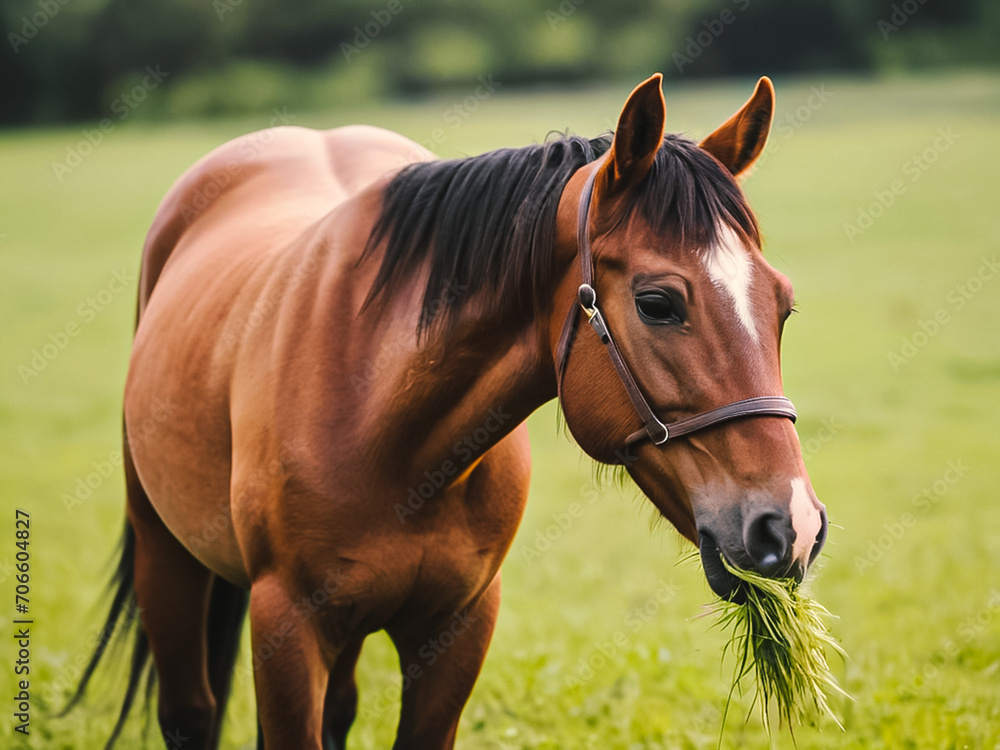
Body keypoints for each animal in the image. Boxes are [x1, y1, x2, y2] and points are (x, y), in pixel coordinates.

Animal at [70, 73, 828, 749]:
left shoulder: (457, 627)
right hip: (165, 555)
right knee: (189, 714)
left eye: (783, 307)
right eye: (658, 303)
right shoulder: (287, 626)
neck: (391, 429)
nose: (790, 527)